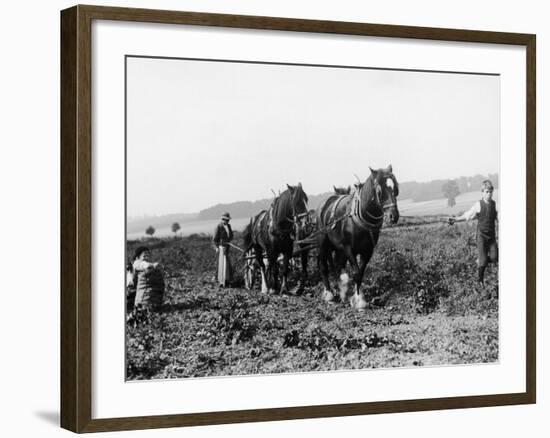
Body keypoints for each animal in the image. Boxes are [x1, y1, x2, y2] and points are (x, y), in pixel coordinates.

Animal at [314, 165, 402, 312]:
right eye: (379, 190)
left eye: (395, 188)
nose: (393, 216)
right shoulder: (348, 248)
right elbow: (355, 272)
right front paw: (359, 300)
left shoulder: (367, 251)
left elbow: (360, 273)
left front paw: (357, 298)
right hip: (323, 244)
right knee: (323, 266)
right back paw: (329, 294)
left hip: (337, 249)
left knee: (337, 266)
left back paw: (342, 292)